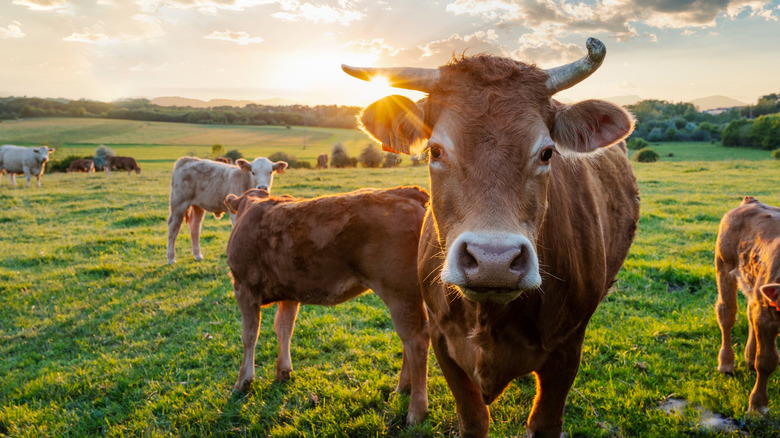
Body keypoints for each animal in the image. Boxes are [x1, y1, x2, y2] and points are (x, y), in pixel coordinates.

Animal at [224, 186, 432, 422]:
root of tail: (404, 192)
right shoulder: (289, 293)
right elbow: (284, 328)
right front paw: (283, 371)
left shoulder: (243, 287)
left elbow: (249, 335)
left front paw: (243, 382)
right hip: (410, 295)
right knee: (412, 338)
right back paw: (402, 388)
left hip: (399, 292)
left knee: (415, 341)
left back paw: (415, 412)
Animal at [342, 38, 640, 438]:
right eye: (435, 150)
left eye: (547, 152)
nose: (493, 261)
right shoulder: (443, 341)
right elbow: (472, 419)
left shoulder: (568, 349)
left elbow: (544, 422)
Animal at [716, 197, 776, 412]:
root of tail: (751, 201)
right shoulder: (768, 318)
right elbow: (767, 361)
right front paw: (757, 405)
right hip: (724, 265)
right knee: (726, 314)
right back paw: (726, 364)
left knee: (750, 312)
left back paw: (749, 357)